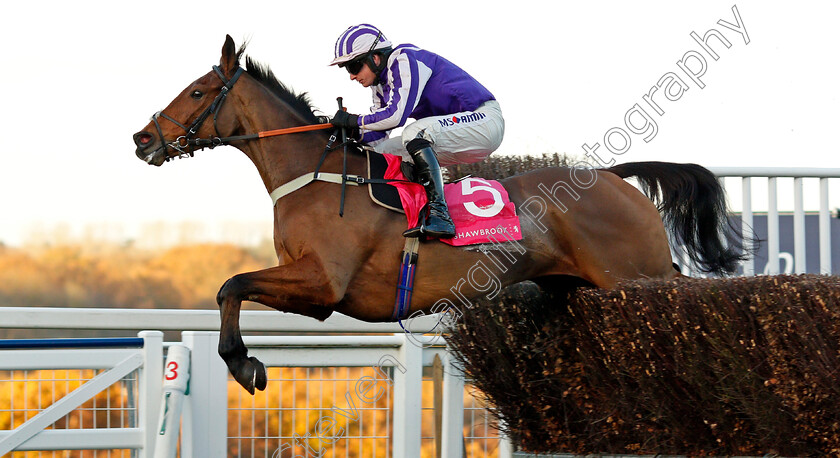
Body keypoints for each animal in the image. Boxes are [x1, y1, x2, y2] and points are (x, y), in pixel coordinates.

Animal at [133, 36, 748, 394]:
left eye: (196, 92)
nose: (142, 139)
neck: (318, 172)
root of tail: (615, 178)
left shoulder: (325, 285)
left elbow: (231, 285)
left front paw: (243, 364)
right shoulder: (315, 292)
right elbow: (231, 288)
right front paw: (243, 360)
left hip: (633, 278)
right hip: (580, 287)